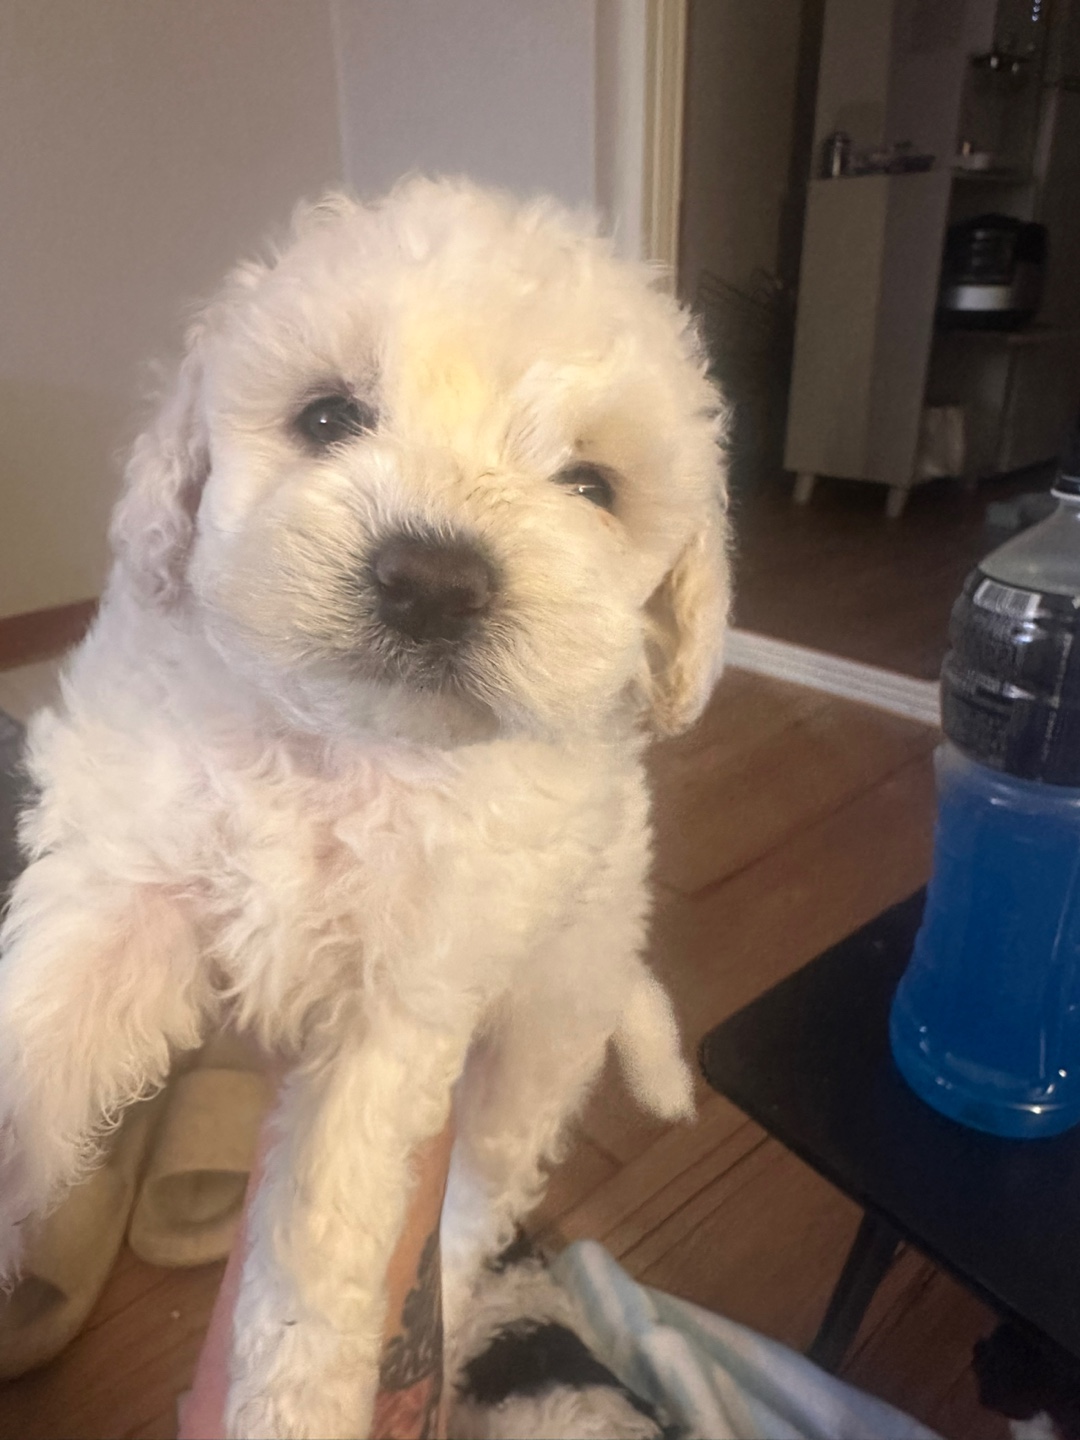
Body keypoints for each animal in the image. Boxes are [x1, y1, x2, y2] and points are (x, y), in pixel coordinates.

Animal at [0, 178, 729, 1438]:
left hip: (543, 1020)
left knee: (481, 1195)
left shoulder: (403, 1007)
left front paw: (291, 1407)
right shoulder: (128, 882)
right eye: (328, 417)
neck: (341, 745)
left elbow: (325, 1234)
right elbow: (36, 1044)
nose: (432, 581)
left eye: (591, 488)